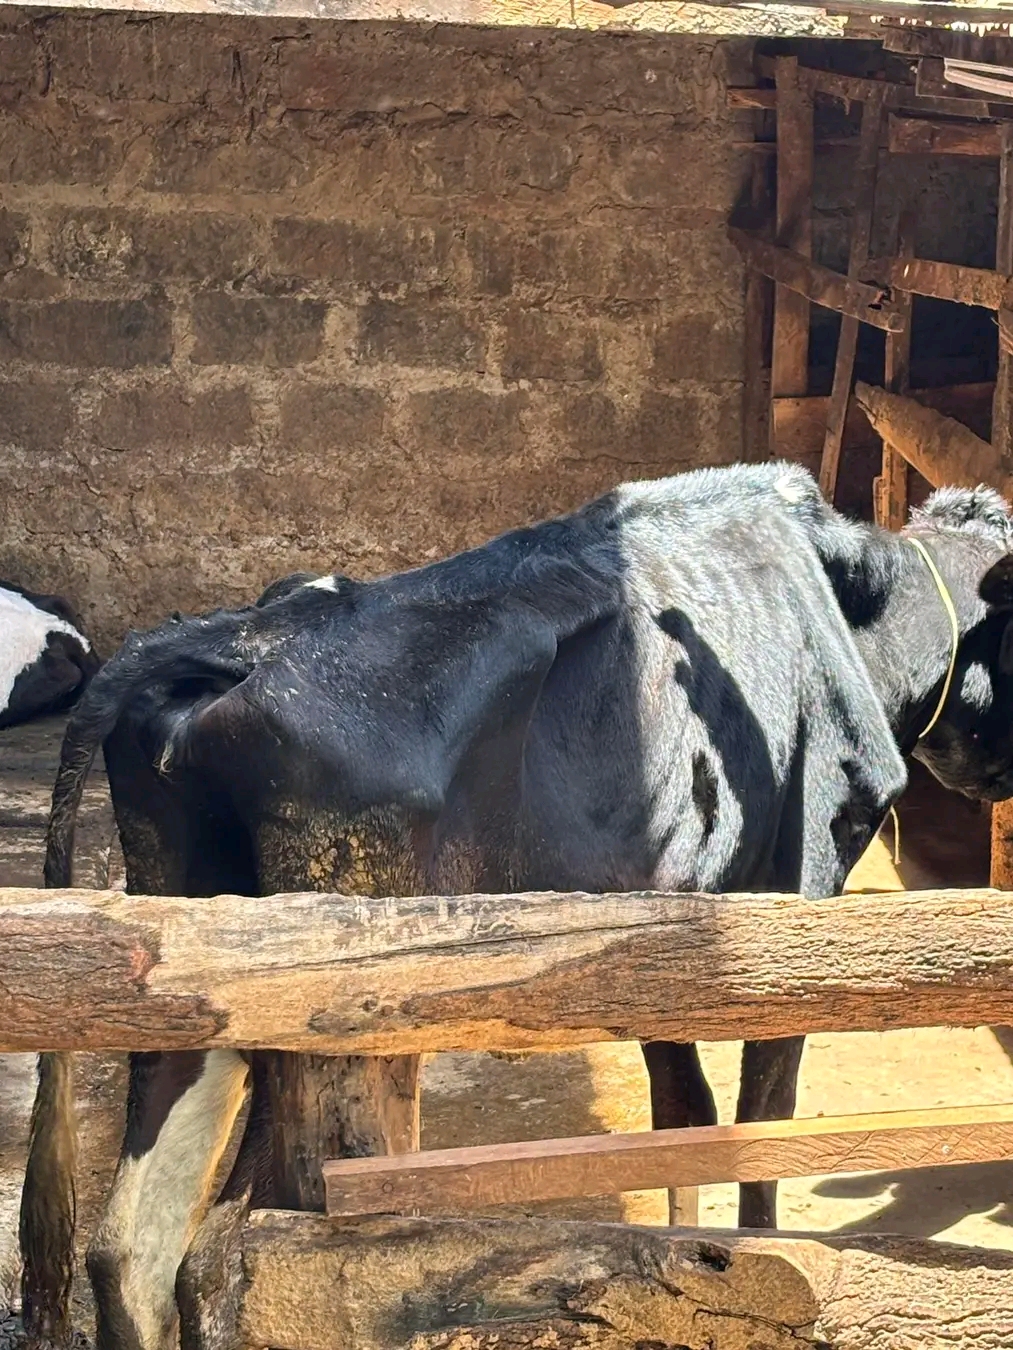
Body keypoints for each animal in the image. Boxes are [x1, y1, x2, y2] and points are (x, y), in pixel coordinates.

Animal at [19, 462, 1013, 1350]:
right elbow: (757, 1131)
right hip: (334, 1038)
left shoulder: (669, 931)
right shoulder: (799, 896)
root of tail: (245, 634)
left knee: (128, 1249)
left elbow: (682, 1115)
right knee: (240, 1259)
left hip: (191, 975)